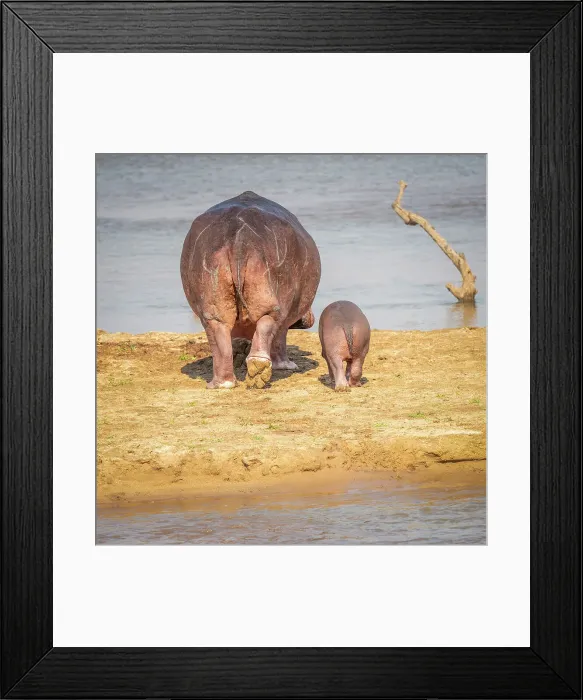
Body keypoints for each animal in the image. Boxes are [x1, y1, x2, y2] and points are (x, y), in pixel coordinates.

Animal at [180, 191, 321, 388]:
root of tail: (239, 236)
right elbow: (280, 337)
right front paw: (287, 366)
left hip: (213, 301)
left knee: (219, 335)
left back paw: (221, 384)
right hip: (272, 297)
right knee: (269, 324)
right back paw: (258, 370)